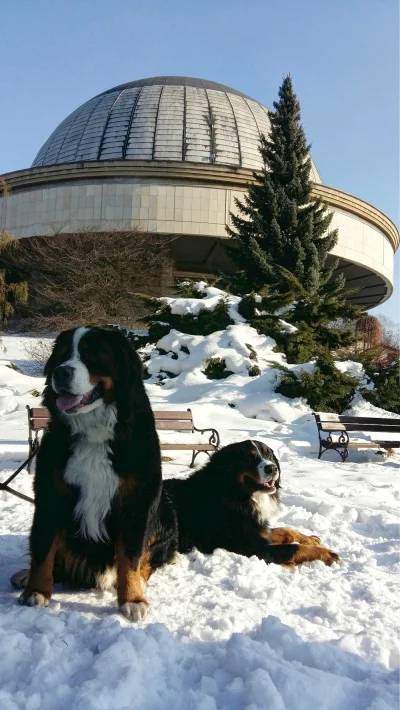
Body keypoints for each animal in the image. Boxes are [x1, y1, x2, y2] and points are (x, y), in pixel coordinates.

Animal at [164, 442, 340, 572]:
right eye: (248, 458)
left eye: (268, 455)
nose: (272, 468)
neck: (235, 494)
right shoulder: (255, 547)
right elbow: (294, 548)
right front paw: (327, 553)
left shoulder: (258, 528)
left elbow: (285, 530)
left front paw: (310, 538)